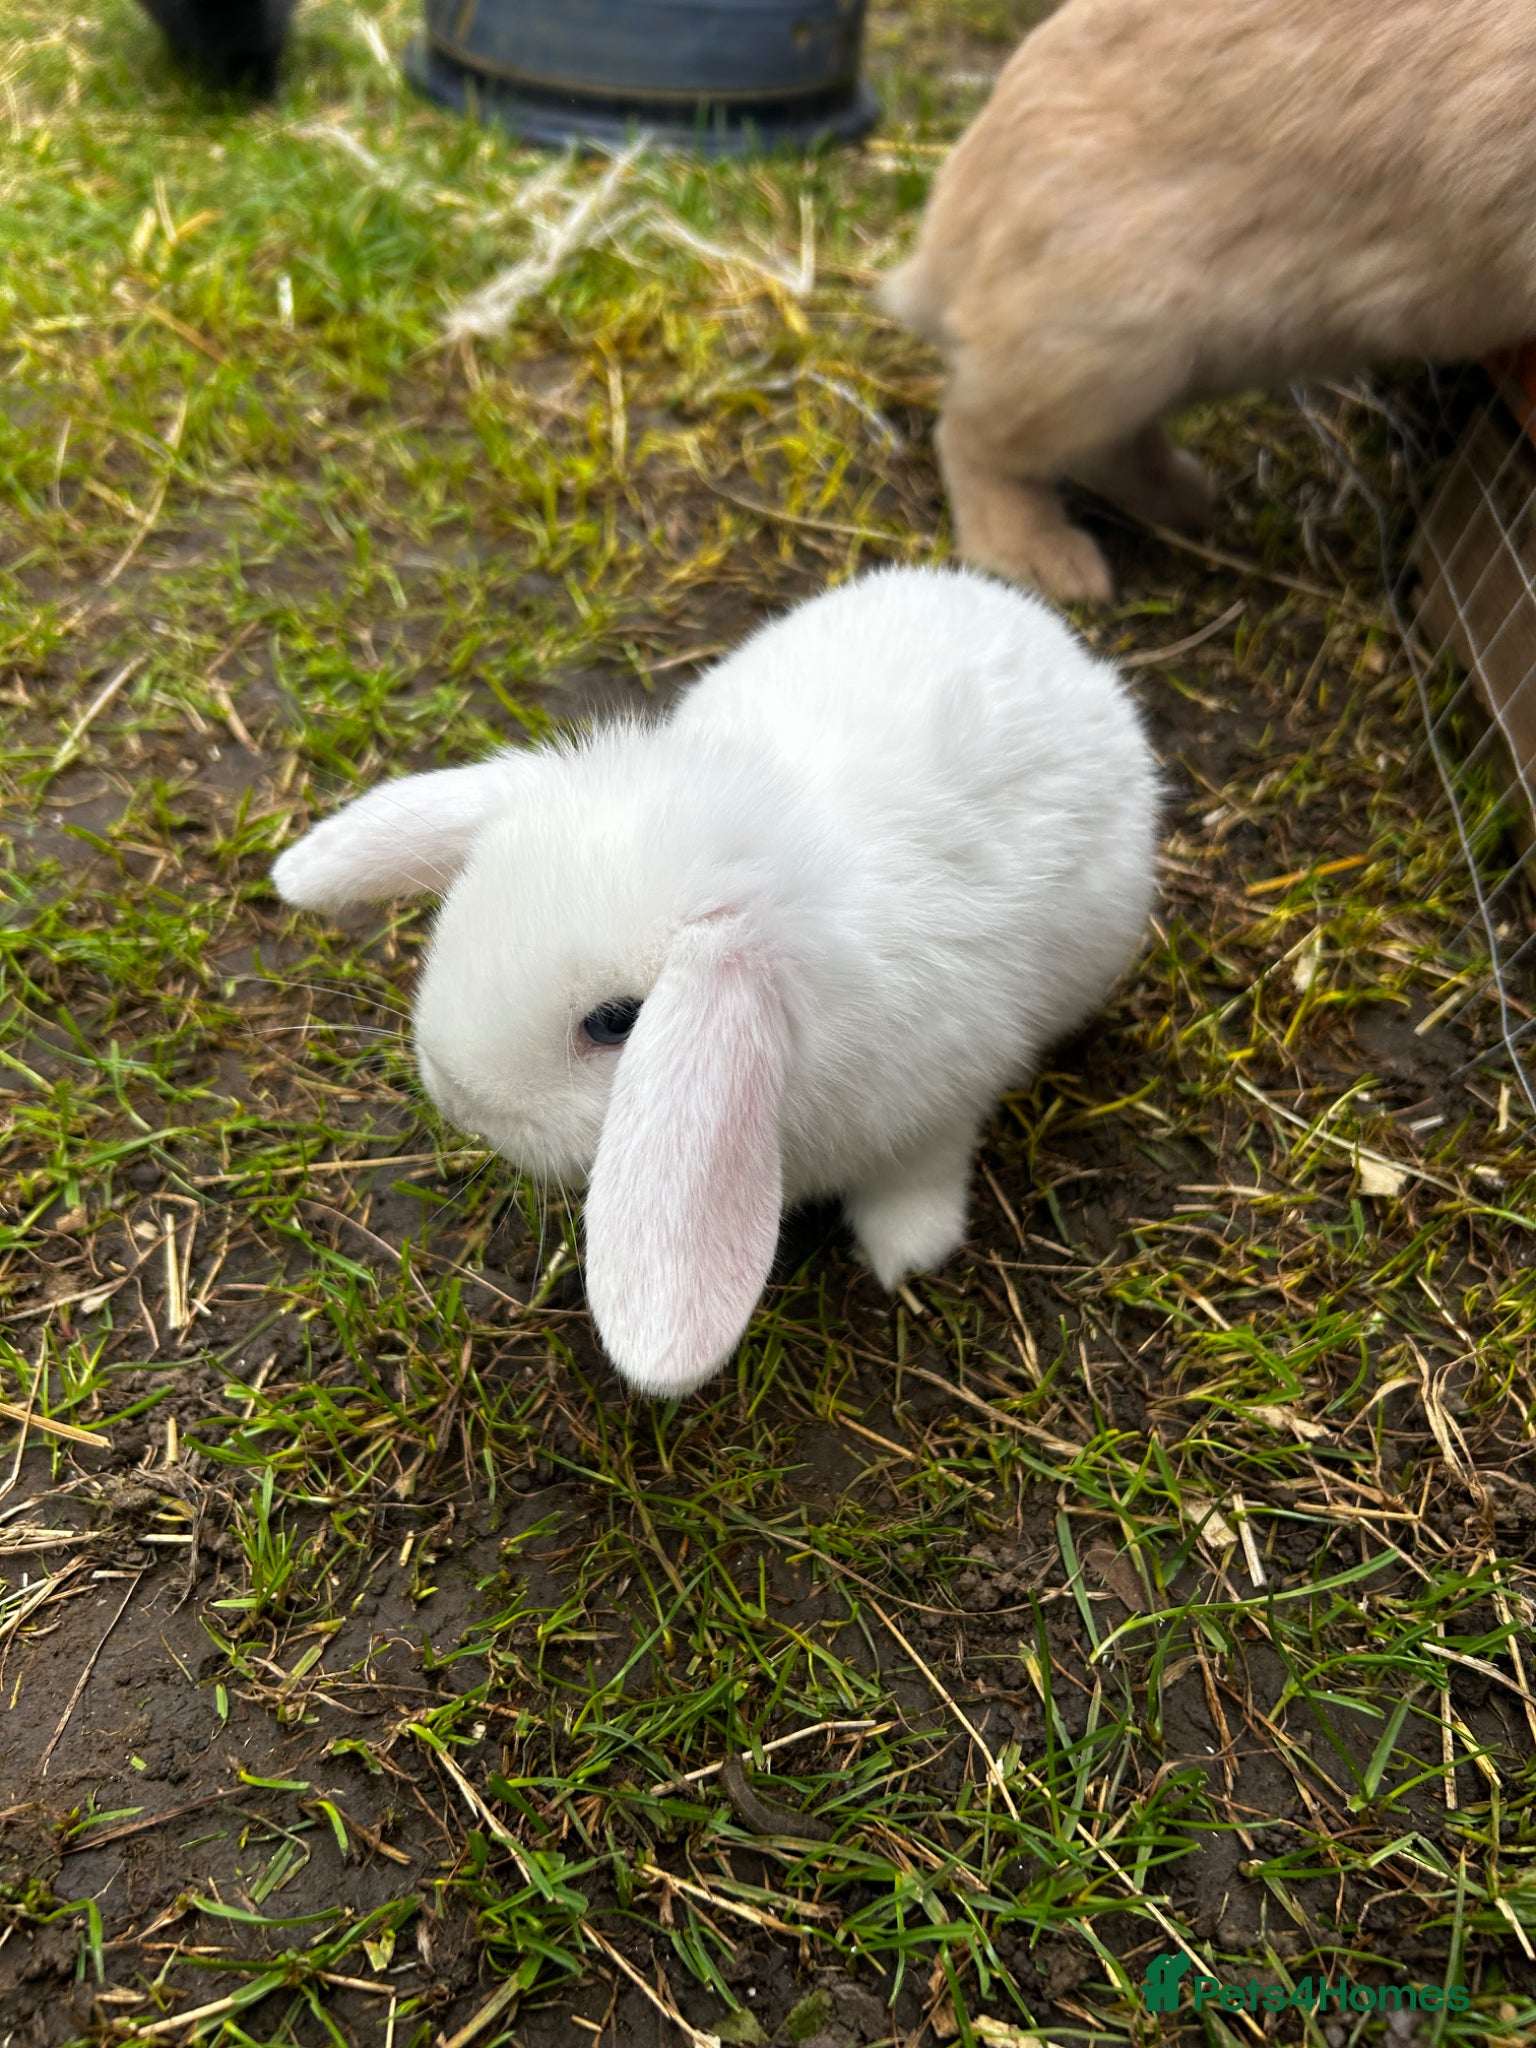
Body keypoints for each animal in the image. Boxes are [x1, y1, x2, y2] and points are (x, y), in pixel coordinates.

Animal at [271, 565, 1158, 1397]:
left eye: (615, 1022)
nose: (453, 1095)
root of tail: (1046, 632)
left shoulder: (940, 1104)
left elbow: (921, 1175)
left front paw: (908, 1253)